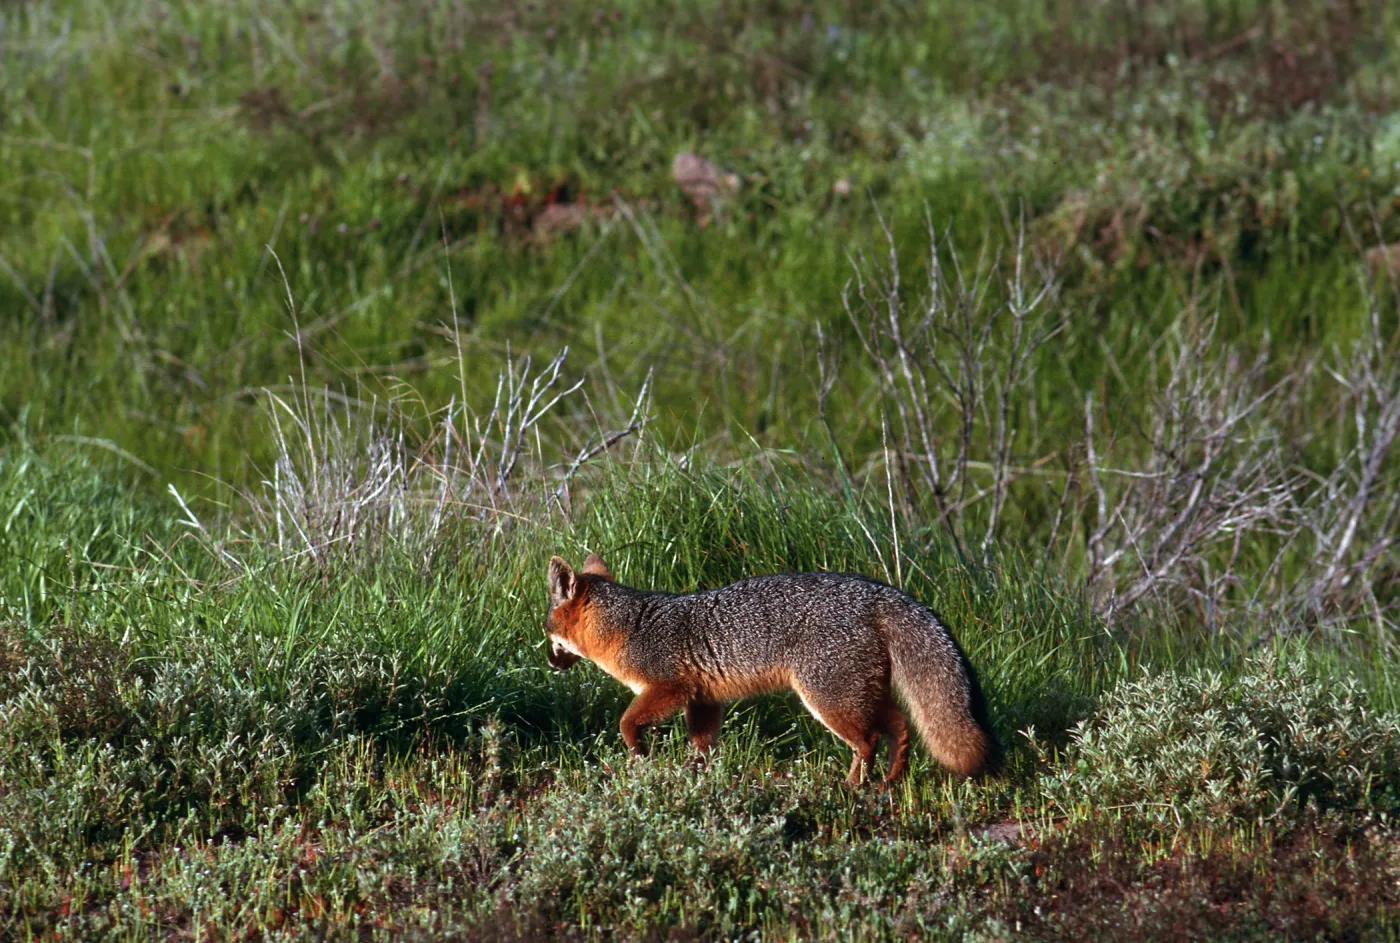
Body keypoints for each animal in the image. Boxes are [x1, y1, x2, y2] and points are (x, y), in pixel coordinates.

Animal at [544, 554, 999, 785]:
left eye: (548, 634)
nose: (549, 662)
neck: (629, 625)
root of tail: (874, 591)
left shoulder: (669, 689)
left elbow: (626, 721)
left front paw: (639, 751)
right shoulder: (704, 701)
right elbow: (701, 747)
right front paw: (692, 778)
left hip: (829, 699)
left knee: (868, 740)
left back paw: (851, 788)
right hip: (859, 694)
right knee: (901, 726)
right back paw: (890, 781)